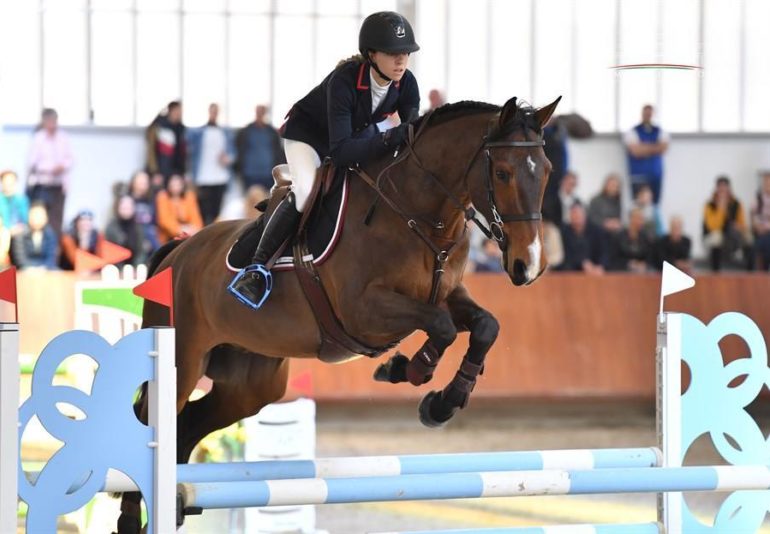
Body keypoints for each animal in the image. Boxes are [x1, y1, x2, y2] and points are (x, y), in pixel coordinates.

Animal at [115, 94, 560, 532]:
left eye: (547, 172)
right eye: (502, 172)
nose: (529, 266)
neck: (418, 215)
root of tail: (178, 250)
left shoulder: (447, 294)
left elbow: (485, 326)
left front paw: (442, 402)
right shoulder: (363, 310)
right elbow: (443, 328)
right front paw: (406, 371)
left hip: (251, 383)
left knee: (191, 421)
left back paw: (176, 502)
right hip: (183, 359)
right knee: (152, 420)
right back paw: (130, 517)